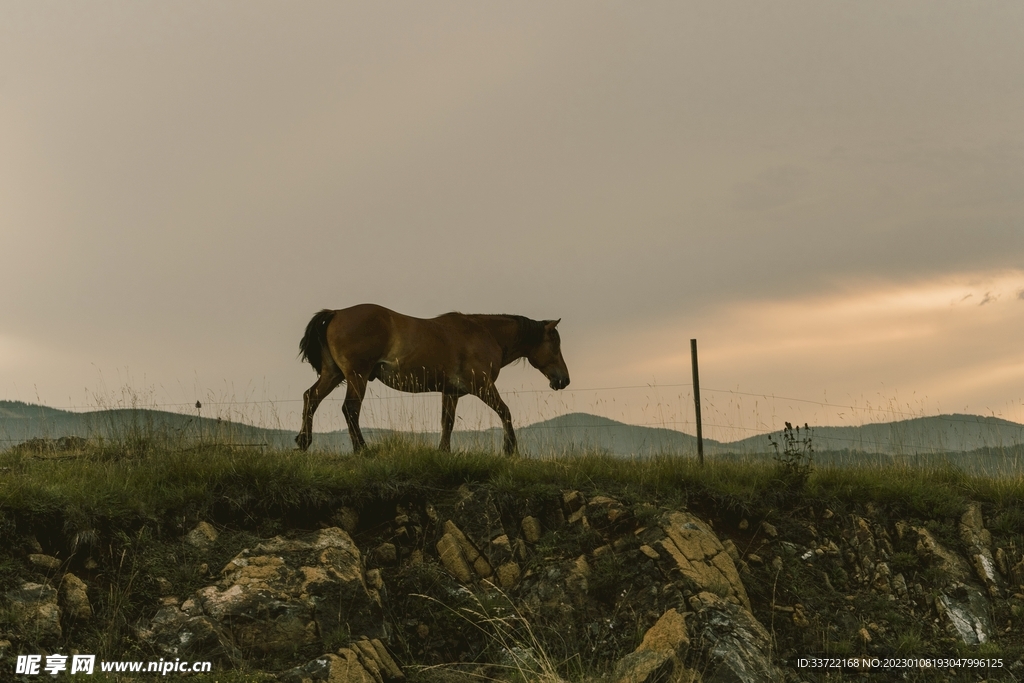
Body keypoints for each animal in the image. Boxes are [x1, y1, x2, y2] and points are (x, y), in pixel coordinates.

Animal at [295, 304, 570, 454]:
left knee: (311, 397)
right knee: (350, 409)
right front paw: (510, 449)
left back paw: (304, 441)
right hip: (357, 376)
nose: (564, 380)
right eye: (555, 344)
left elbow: (446, 422)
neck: (484, 333)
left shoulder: (450, 392)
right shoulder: (483, 386)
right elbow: (505, 412)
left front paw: (444, 451)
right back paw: (361, 448)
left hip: (334, 374)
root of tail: (336, 313)